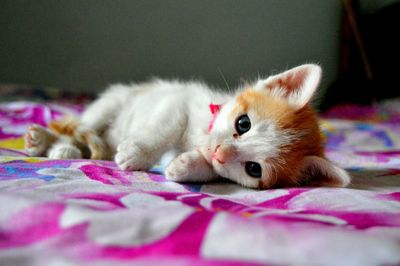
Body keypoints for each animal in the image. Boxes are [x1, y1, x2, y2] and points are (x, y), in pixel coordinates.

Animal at [25, 64, 350, 189]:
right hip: (112, 101)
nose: (219, 151)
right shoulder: (179, 100)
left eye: (253, 169)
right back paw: (52, 142)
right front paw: (138, 154)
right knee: (79, 126)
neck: (201, 135)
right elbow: (167, 126)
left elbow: (211, 170)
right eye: (243, 123)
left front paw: (186, 166)